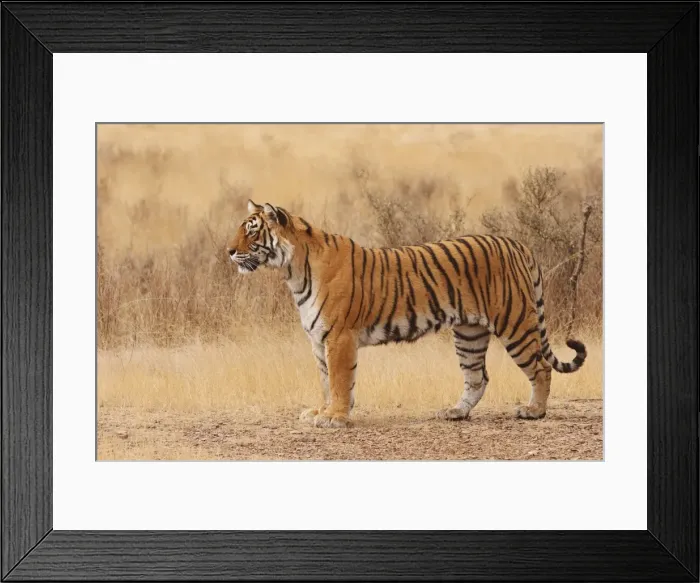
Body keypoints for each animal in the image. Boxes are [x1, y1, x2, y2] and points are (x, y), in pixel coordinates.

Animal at [227, 199, 587, 428]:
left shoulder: (339, 337)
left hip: (515, 323)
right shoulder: (319, 340)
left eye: (252, 231)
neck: (293, 271)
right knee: (477, 377)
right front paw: (322, 411)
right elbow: (326, 381)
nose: (229, 251)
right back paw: (456, 412)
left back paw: (534, 411)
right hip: (469, 333)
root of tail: (517, 243)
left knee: (540, 368)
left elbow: (340, 381)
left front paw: (334, 417)